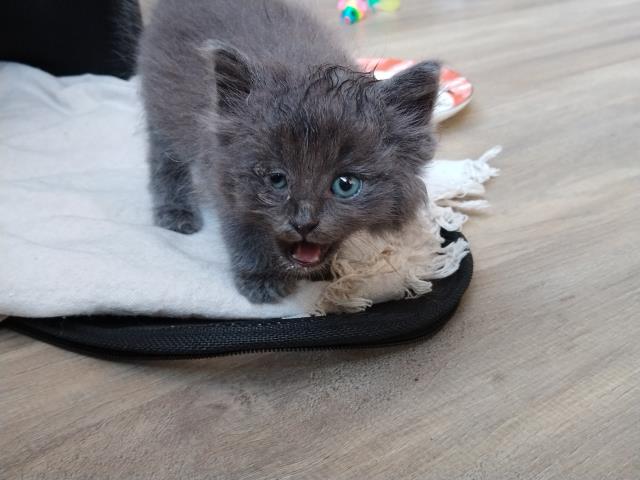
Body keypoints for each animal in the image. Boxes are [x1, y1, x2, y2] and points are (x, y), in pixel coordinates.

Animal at [138, 0, 440, 303]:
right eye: (276, 179)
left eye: (345, 185)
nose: (304, 223)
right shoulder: (220, 174)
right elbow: (243, 230)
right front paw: (261, 277)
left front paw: (323, 271)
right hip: (163, 107)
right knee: (163, 157)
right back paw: (175, 212)